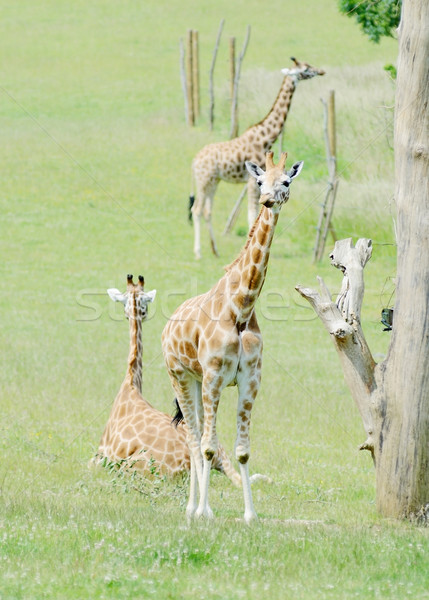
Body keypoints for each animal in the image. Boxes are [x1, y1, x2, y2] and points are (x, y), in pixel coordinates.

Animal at [162, 152, 302, 524]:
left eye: (286, 181)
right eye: (259, 181)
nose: (267, 199)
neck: (241, 307)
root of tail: (167, 328)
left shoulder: (250, 380)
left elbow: (242, 451)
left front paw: (250, 515)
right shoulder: (214, 377)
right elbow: (210, 447)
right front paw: (205, 512)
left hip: (195, 381)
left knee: (197, 436)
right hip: (180, 377)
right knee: (194, 438)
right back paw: (193, 509)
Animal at [189, 56, 322, 260]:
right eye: (305, 69)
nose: (321, 71)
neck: (266, 136)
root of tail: (195, 160)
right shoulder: (253, 181)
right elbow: (252, 215)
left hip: (213, 181)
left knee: (206, 211)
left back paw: (215, 250)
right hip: (204, 181)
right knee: (196, 210)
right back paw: (198, 253)